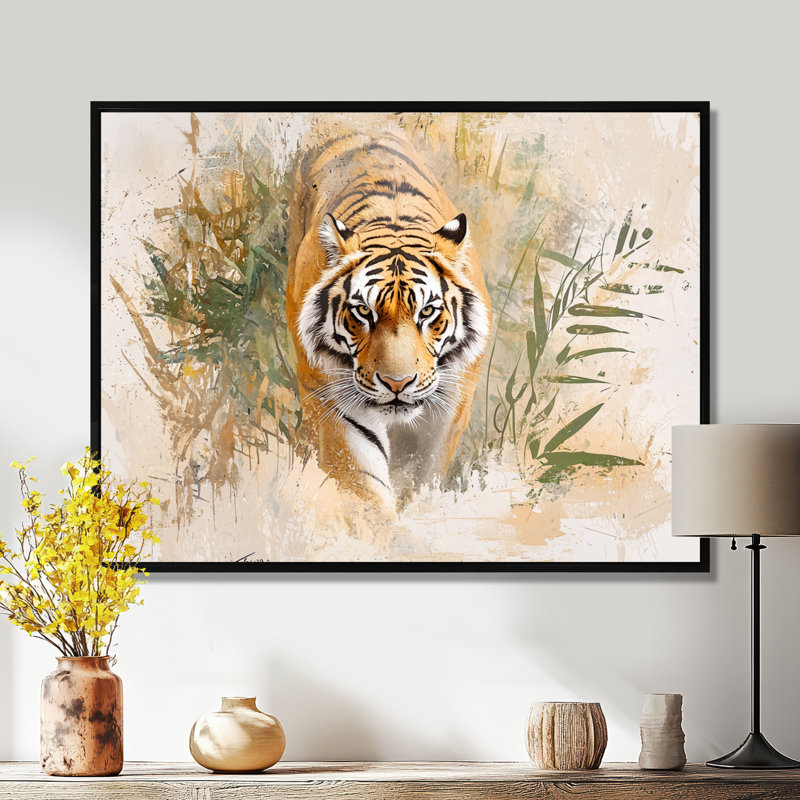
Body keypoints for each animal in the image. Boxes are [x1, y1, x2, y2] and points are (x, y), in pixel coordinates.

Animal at [286, 131, 491, 508]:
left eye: (427, 312)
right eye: (364, 311)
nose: (398, 384)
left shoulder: (452, 404)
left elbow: (425, 474)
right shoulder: (335, 398)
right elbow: (364, 485)